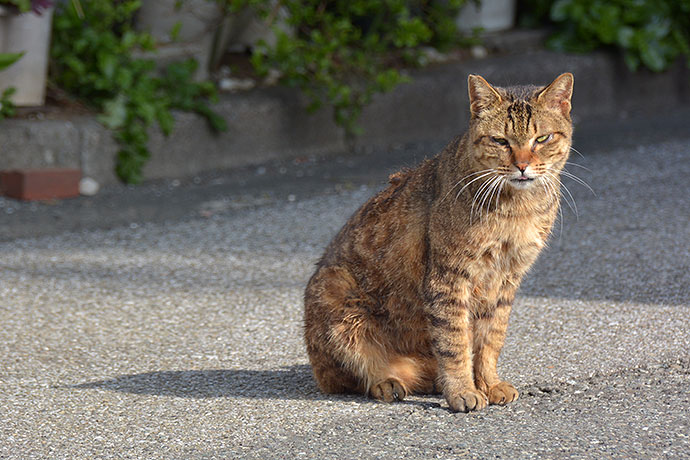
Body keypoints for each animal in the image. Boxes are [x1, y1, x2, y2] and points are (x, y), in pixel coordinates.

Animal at [304, 73, 572, 414]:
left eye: (542, 138)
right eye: (500, 141)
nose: (523, 165)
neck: (517, 208)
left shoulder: (507, 279)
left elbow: (490, 339)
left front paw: (488, 383)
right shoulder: (449, 277)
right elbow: (455, 342)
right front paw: (463, 390)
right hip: (335, 292)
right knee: (350, 373)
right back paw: (387, 381)